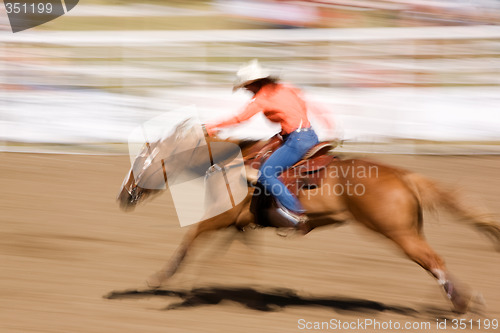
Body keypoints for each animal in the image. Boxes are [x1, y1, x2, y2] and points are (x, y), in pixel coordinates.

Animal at [116, 120, 500, 312]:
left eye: (141, 163)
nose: (123, 197)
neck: (232, 163)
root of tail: (403, 175)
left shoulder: (220, 219)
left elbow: (191, 238)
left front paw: (161, 279)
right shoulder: (240, 224)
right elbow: (235, 253)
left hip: (398, 233)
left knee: (434, 260)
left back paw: (461, 303)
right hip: (407, 230)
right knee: (433, 260)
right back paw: (463, 300)